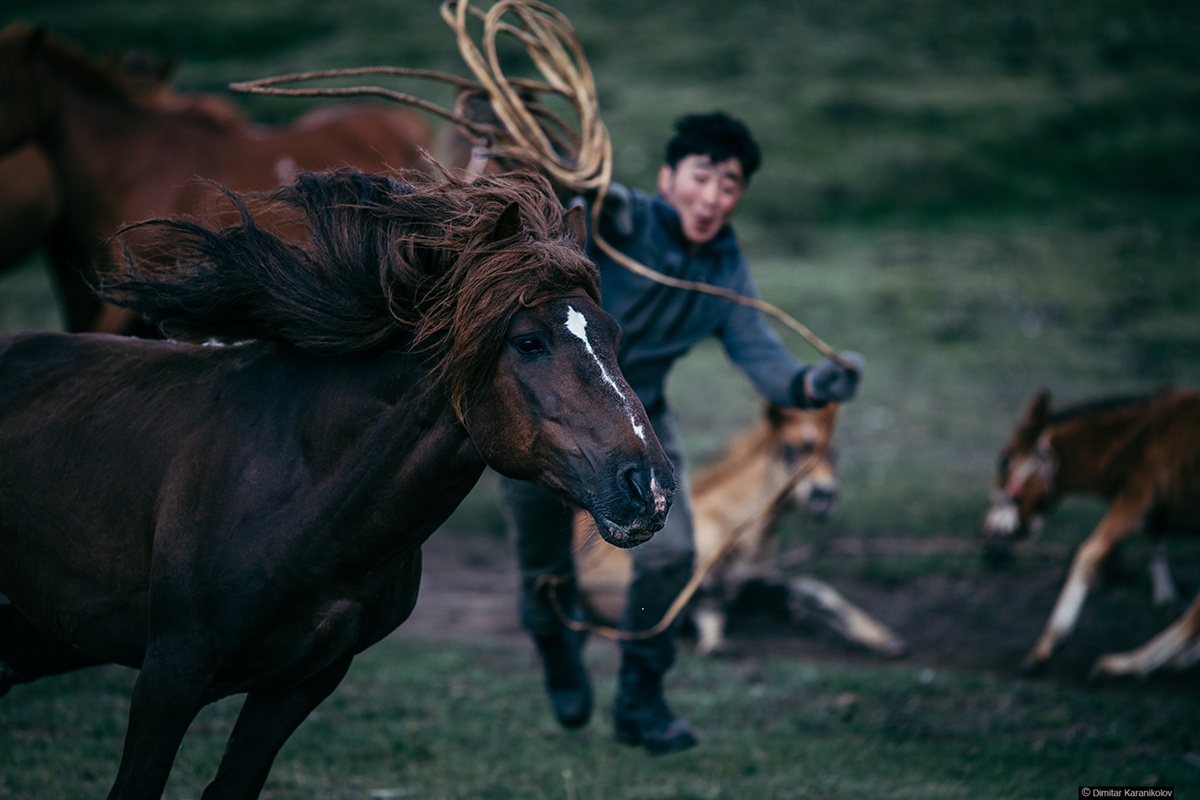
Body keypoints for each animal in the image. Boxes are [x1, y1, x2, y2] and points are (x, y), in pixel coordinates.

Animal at [0, 165, 676, 796]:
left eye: (614, 336)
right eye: (529, 342)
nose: (649, 485)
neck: (296, 494)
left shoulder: (302, 683)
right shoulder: (170, 672)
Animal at [576, 402, 902, 662]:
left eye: (833, 453)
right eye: (789, 450)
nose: (823, 497)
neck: (735, 527)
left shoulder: (748, 583)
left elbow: (812, 588)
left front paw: (878, 635)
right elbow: (709, 605)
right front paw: (714, 643)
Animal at [984, 391, 1200, 681]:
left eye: (1004, 461)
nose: (985, 531)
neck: (1139, 441)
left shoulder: (1138, 494)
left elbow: (1090, 553)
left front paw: (1046, 648)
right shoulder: (1151, 507)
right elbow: (1152, 541)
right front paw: (1168, 600)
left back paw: (1124, 664)